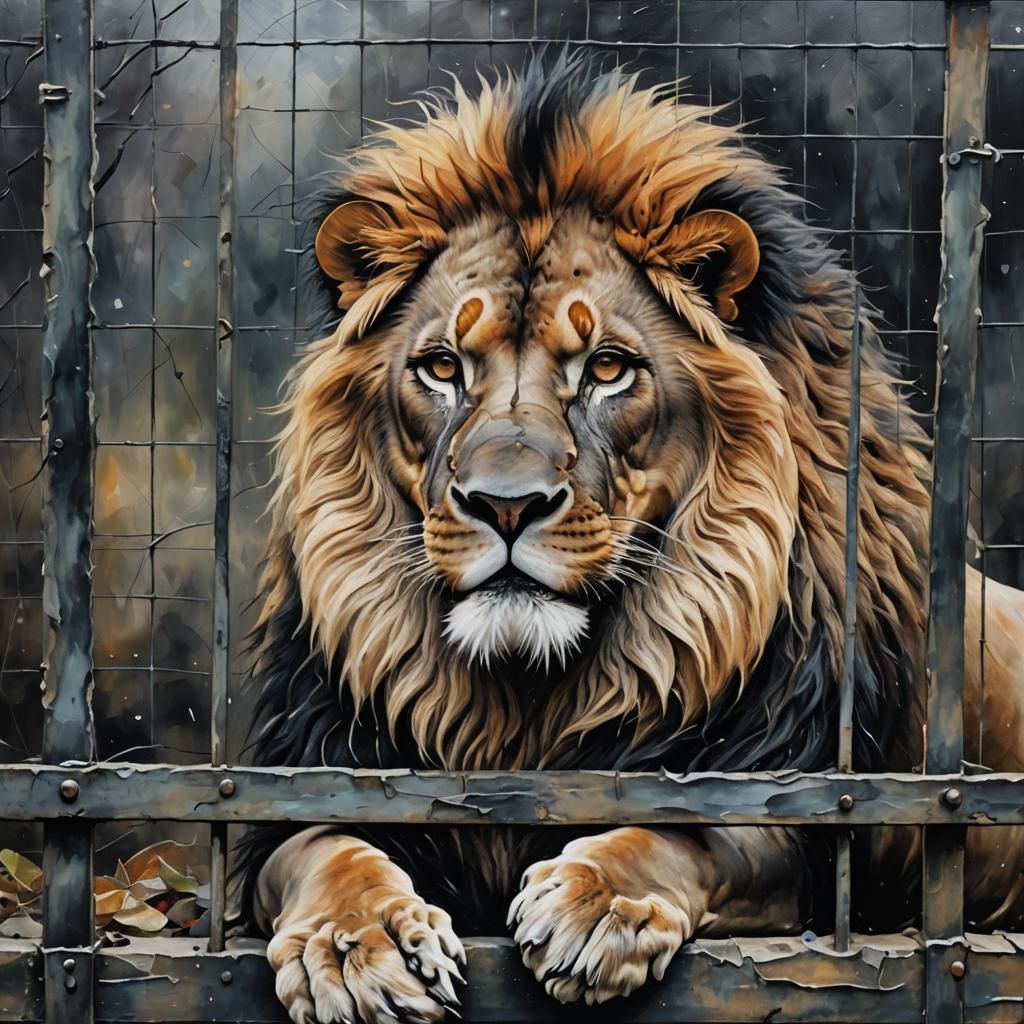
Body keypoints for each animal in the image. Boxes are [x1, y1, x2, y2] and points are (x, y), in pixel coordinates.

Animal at [237, 54, 1024, 1024]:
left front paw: (597, 904)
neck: (527, 704)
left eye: (607, 368)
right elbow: (322, 847)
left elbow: (687, 832)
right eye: (442, 367)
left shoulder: (802, 810)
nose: (505, 505)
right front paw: (355, 945)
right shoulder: (310, 779)